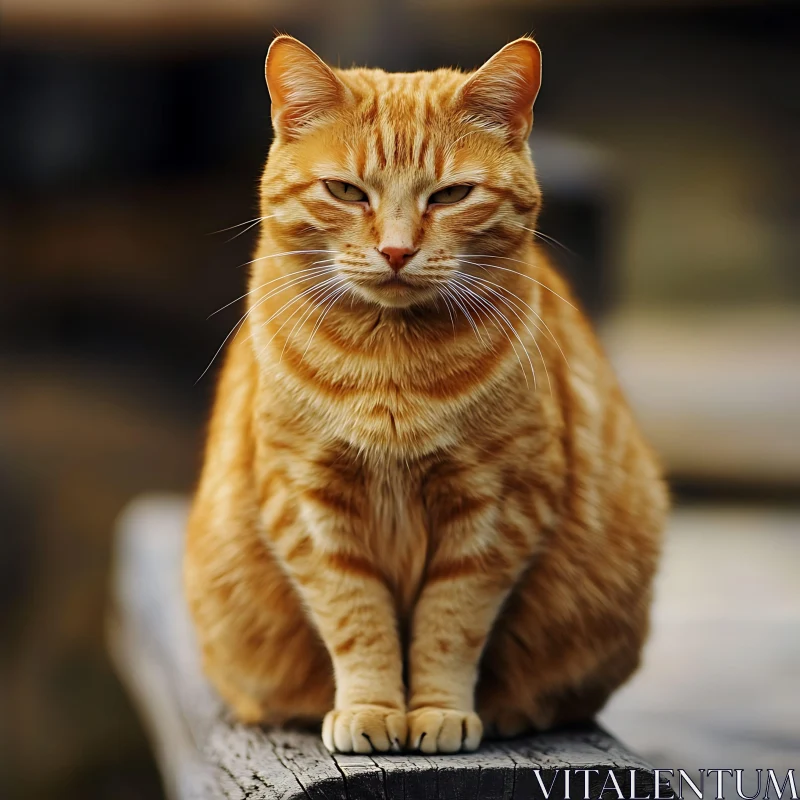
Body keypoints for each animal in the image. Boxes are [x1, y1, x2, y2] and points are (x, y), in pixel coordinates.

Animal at [184, 34, 664, 752]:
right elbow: (357, 618)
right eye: (346, 191)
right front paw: (372, 709)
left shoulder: (498, 504)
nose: (395, 251)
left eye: (451, 195)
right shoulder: (306, 500)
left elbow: (450, 623)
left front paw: (438, 712)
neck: (392, 365)